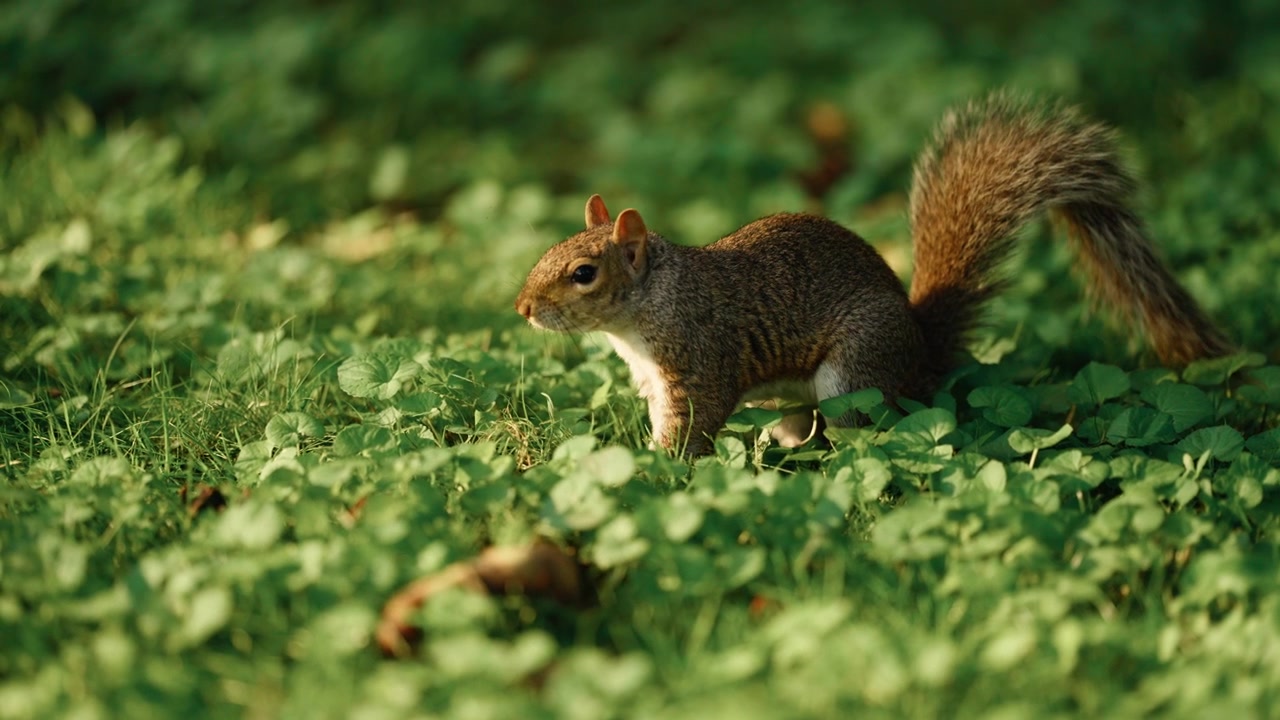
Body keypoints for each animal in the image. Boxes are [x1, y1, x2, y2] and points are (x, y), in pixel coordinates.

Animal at [515, 94, 1233, 456]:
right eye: (549, 247)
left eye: (583, 273)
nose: (522, 309)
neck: (648, 308)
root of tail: (922, 355)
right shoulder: (653, 379)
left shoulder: (699, 362)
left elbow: (693, 426)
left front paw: (657, 472)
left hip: (853, 372)